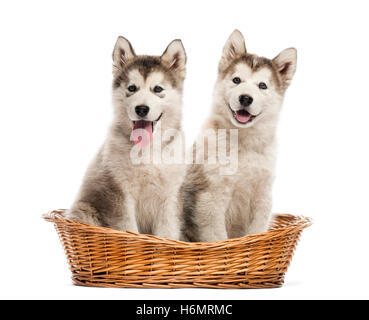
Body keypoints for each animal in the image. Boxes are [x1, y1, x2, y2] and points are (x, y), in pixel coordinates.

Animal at [65, 35, 187, 240]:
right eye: (132, 88)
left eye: (157, 89)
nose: (141, 109)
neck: (147, 150)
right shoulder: (119, 194)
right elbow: (127, 228)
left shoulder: (169, 196)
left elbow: (167, 232)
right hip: (83, 210)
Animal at [183, 30, 298, 241]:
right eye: (236, 80)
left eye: (262, 86)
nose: (245, 98)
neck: (243, 141)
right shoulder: (212, 199)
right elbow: (218, 238)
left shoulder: (262, 197)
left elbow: (257, 232)